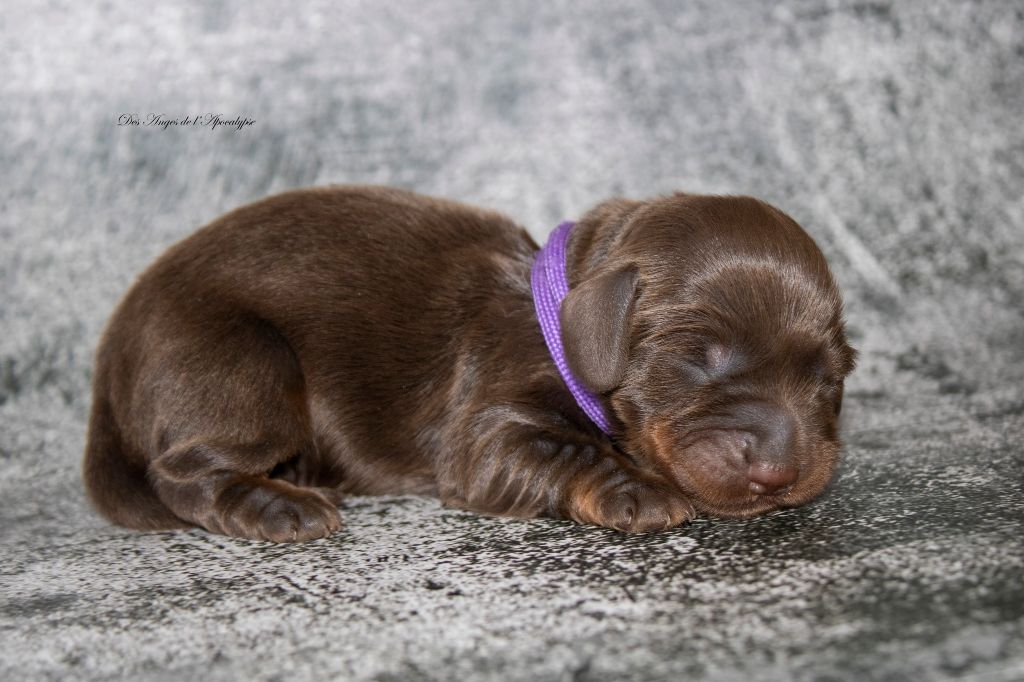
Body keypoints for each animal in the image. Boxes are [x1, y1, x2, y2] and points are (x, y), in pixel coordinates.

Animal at [83, 184, 860, 536]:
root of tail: (109, 358)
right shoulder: (485, 425)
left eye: (830, 378)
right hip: (242, 365)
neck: (559, 310)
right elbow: (564, 447)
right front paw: (635, 490)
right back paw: (277, 503)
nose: (780, 474)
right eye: (698, 361)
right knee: (183, 471)